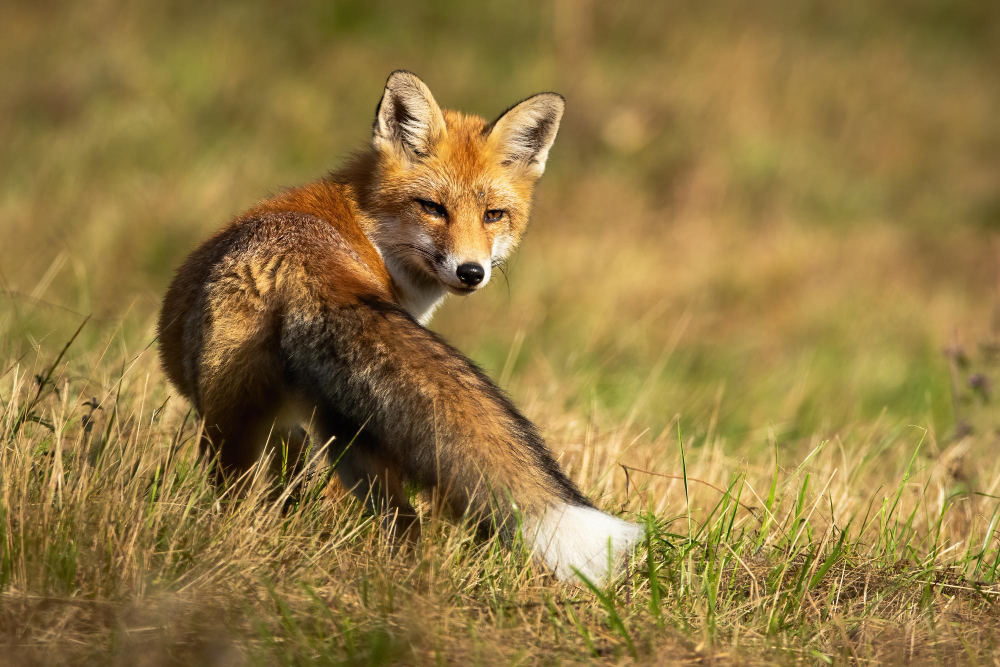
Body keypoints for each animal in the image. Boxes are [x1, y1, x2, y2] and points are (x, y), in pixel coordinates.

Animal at [157, 70, 643, 584]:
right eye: (432, 207)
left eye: (493, 215)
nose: (471, 272)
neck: (361, 229)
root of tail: (306, 262)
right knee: (398, 525)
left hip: (282, 436)